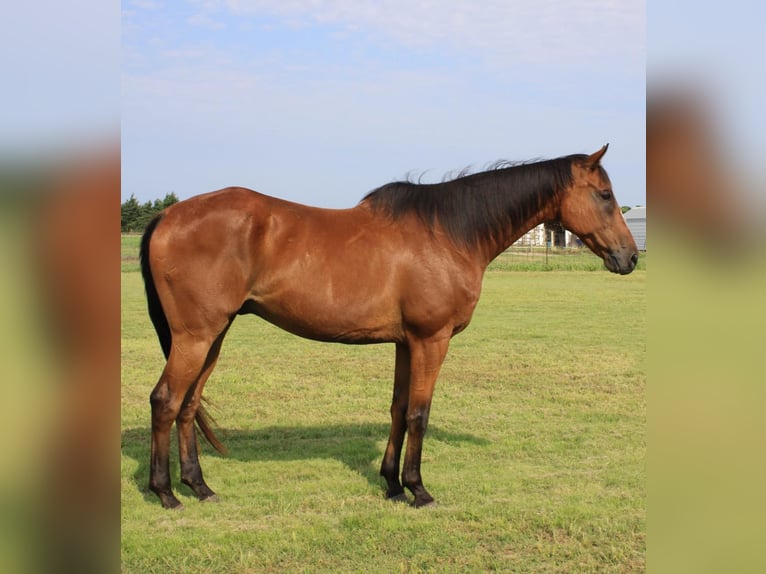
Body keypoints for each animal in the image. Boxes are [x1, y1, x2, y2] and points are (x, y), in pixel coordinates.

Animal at [141, 146, 640, 510]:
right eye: (604, 194)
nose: (631, 257)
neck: (450, 234)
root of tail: (169, 215)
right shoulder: (431, 340)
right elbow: (420, 413)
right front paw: (418, 490)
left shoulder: (405, 343)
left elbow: (399, 410)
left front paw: (392, 484)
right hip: (196, 337)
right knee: (165, 401)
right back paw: (165, 493)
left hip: (213, 337)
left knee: (188, 405)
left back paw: (199, 487)